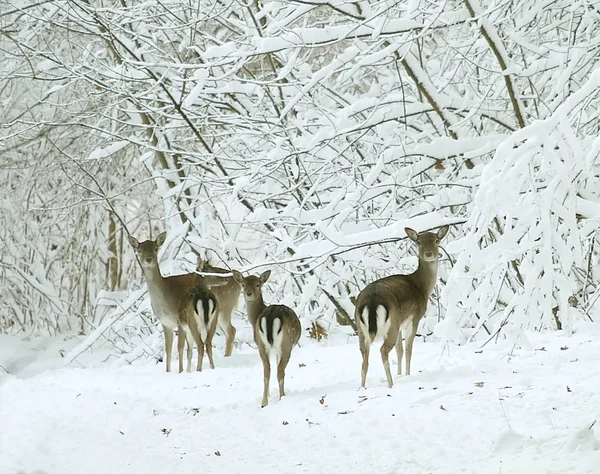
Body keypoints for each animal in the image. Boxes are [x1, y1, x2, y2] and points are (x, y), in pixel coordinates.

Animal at [127, 231, 226, 372]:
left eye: (156, 249)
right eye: (139, 250)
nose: (148, 259)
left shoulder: (178, 321)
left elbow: (180, 347)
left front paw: (181, 371)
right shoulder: (165, 323)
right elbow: (168, 349)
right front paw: (168, 371)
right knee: (209, 342)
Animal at [232, 270, 302, 408]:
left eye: (257, 284)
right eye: (243, 284)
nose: (248, 293)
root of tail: (271, 316)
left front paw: (269, 395)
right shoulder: (277, 349)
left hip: (262, 345)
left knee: (266, 371)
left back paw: (264, 402)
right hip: (286, 344)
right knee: (279, 370)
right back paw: (282, 397)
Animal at [354, 226, 448, 388]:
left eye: (437, 240)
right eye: (418, 242)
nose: (428, 254)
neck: (422, 288)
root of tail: (371, 302)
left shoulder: (399, 325)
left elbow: (399, 350)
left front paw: (400, 374)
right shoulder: (414, 319)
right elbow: (408, 349)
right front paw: (407, 375)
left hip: (363, 328)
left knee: (364, 357)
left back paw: (362, 387)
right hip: (391, 325)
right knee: (383, 350)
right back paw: (390, 384)